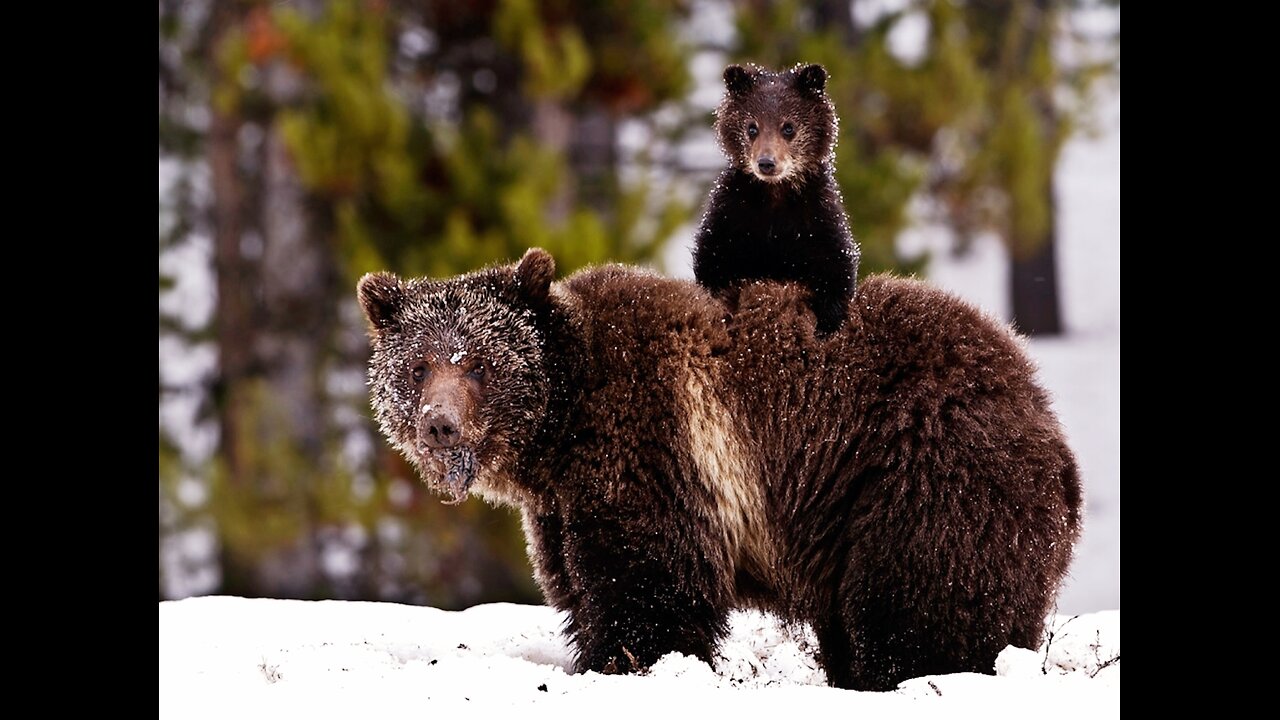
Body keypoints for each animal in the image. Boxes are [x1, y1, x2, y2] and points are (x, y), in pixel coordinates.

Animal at [358, 248, 1080, 691]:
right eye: (417, 365)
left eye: (479, 361)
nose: (439, 423)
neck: (561, 430)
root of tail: (1036, 396)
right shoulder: (561, 506)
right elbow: (578, 585)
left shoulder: (654, 447)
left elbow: (648, 586)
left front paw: (626, 665)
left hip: (919, 477)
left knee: (922, 602)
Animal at [691, 63, 860, 333]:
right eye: (752, 127)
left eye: (788, 127)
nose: (767, 163)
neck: (775, 194)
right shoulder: (731, 214)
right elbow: (713, 261)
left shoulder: (817, 216)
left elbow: (835, 265)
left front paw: (828, 321)